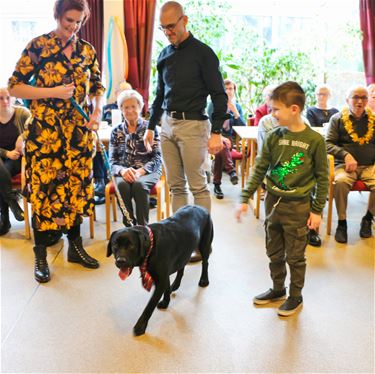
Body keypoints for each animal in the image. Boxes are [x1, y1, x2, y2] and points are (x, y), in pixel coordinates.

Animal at [108, 205, 214, 336]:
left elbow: (149, 306)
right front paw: (166, 302)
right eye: (115, 245)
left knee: (205, 263)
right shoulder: (163, 276)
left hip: (204, 245)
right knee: (181, 268)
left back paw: (204, 280)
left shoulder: (161, 280)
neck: (151, 246)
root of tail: (200, 207)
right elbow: (166, 289)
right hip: (185, 251)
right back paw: (175, 284)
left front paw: (140, 326)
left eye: (131, 245)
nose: (120, 261)